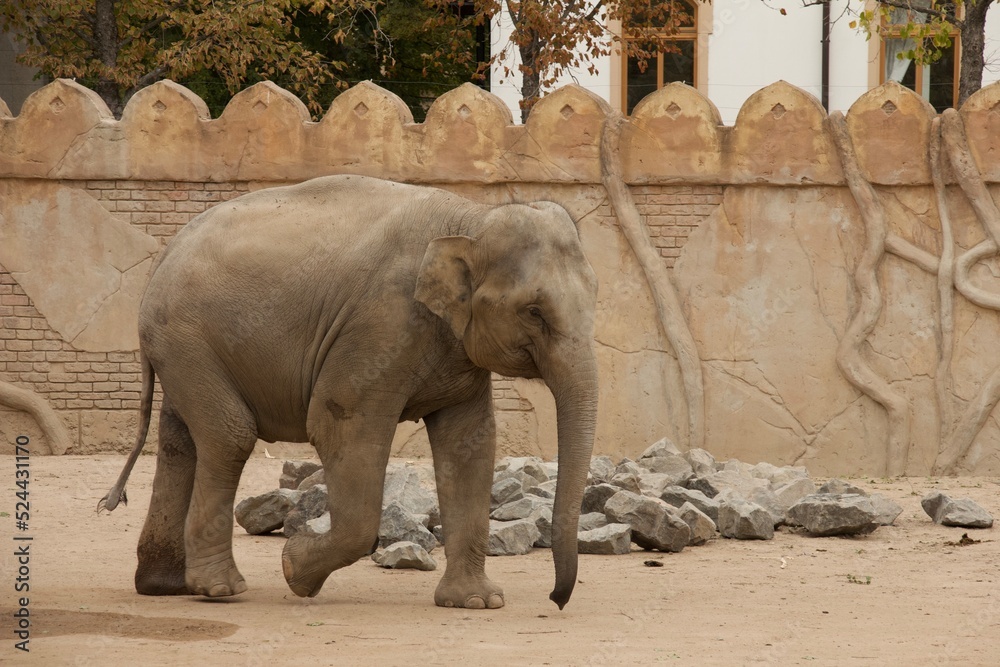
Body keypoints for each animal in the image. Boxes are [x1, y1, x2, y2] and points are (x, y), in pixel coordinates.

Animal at [99, 174, 599, 610]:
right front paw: (294, 570)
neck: (472, 217)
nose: (556, 600)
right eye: (533, 312)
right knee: (229, 436)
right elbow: (338, 425)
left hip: (184, 348)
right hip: (186, 338)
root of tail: (166, 252)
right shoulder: (379, 326)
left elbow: (469, 444)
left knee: (180, 440)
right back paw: (219, 590)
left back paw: (165, 586)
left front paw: (476, 603)